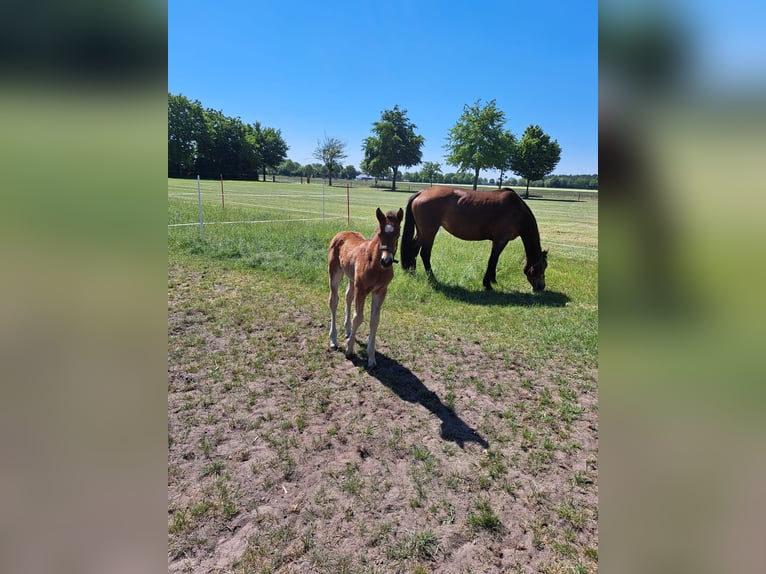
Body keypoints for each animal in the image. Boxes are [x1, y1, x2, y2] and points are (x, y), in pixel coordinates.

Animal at [328, 207, 404, 367]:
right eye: (380, 233)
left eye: (398, 234)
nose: (386, 261)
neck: (376, 265)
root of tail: (342, 232)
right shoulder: (361, 289)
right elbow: (358, 317)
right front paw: (349, 350)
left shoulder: (380, 291)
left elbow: (374, 320)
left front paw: (371, 358)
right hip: (335, 273)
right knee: (333, 301)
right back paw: (333, 340)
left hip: (352, 279)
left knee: (348, 297)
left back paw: (348, 330)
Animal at [400, 186, 548, 291]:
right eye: (542, 267)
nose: (541, 287)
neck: (517, 211)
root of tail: (421, 193)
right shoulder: (500, 240)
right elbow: (492, 260)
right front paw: (487, 284)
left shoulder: (497, 241)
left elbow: (495, 261)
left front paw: (493, 280)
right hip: (430, 232)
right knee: (424, 254)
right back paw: (433, 279)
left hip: (422, 232)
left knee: (414, 249)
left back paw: (412, 273)